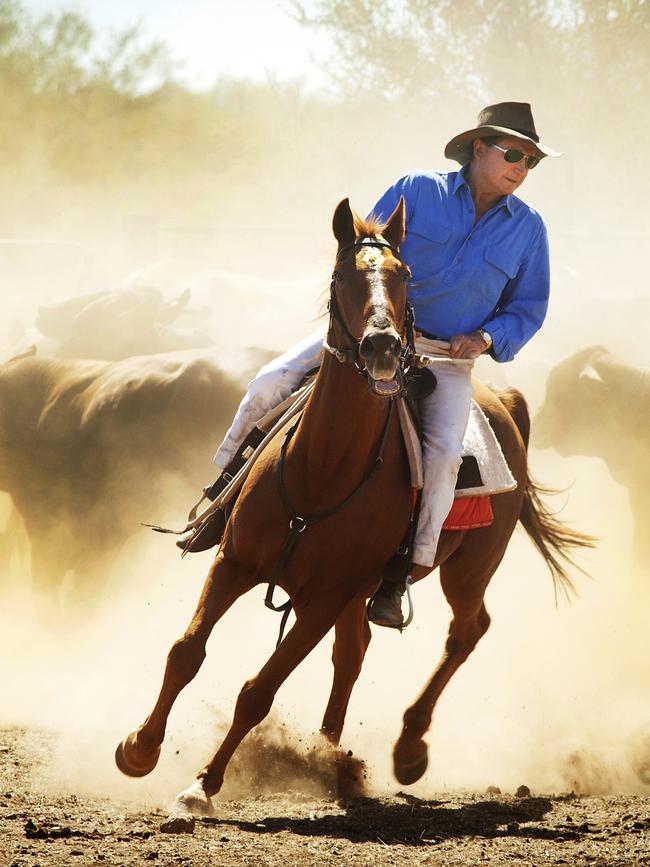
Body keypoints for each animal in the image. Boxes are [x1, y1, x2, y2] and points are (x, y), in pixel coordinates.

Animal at [114, 198, 588, 820]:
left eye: (404, 275)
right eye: (343, 276)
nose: (382, 347)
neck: (322, 470)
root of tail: (506, 404)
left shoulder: (324, 597)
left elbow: (257, 692)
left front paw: (203, 784)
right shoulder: (235, 563)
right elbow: (185, 651)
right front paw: (139, 748)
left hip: (468, 568)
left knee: (466, 630)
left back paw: (408, 748)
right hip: (366, 589)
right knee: (353, 653)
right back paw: (329, 756)